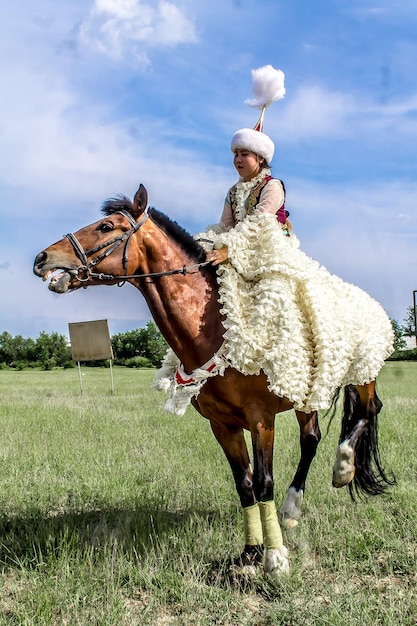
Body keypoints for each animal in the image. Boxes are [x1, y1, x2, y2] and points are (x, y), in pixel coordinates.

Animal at [32, 180, 394, 576]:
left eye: (107, 226)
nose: (42, 258)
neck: (214, 328)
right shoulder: (222, 424)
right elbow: (244, 484)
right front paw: (250, 553)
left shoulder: (261, 419)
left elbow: (264, 482)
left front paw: (275, 559)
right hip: (305, 393)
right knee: (312, 437)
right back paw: (292, 508)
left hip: (362, 375)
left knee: (368, 411)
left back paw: (343, 468)